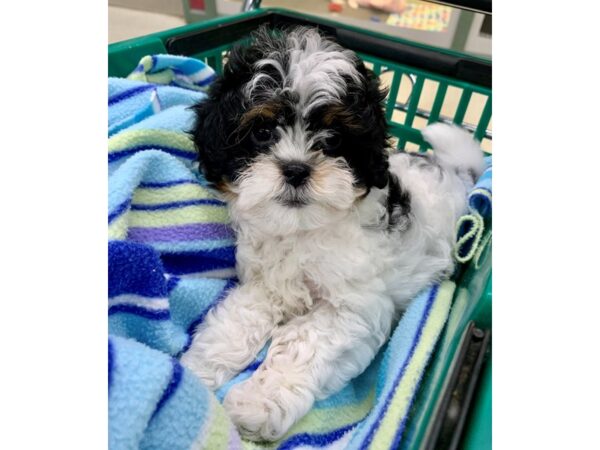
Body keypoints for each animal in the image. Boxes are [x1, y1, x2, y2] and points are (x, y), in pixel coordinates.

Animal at [180, 26, 486, 442]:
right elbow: (238, 315)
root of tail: (457, 172)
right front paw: (197, 369)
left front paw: (257, 403)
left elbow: (303, 342)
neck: (303, 228)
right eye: (262, 131)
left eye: (333, 138)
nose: (296, 169)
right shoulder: (266, 283)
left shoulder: (356, 310)